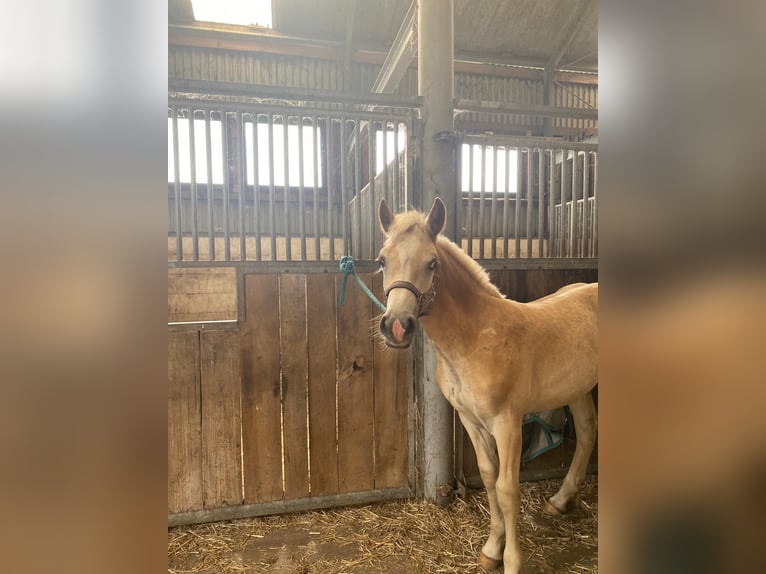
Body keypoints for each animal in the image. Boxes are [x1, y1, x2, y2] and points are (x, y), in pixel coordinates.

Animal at [378, 199, 600, 574]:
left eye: (432, 262)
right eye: (382, 260)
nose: (397, 326)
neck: (476, 339)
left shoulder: (507, 423)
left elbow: (507, 489)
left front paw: (512, 561)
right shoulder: (470, 420)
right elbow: (488, 477)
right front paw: (492, 550)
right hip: (578, 388)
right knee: (586, 431)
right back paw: (560, 500)